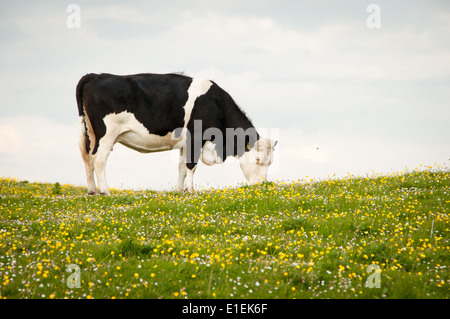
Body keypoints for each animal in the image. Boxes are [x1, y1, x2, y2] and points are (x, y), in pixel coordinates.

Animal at [75, 73, 276, 195]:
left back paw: (92, 191)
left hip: (90, 133)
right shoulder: (196, 137)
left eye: (270, 162)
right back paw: (105, 191)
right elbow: (191, 166)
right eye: (258, 159)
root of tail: (97, 75)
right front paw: (191, 190)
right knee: (99, 160)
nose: (262, 186)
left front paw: (179, 191)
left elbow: (182, 167)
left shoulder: (185, 143)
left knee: (87, 158)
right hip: (106, 134)